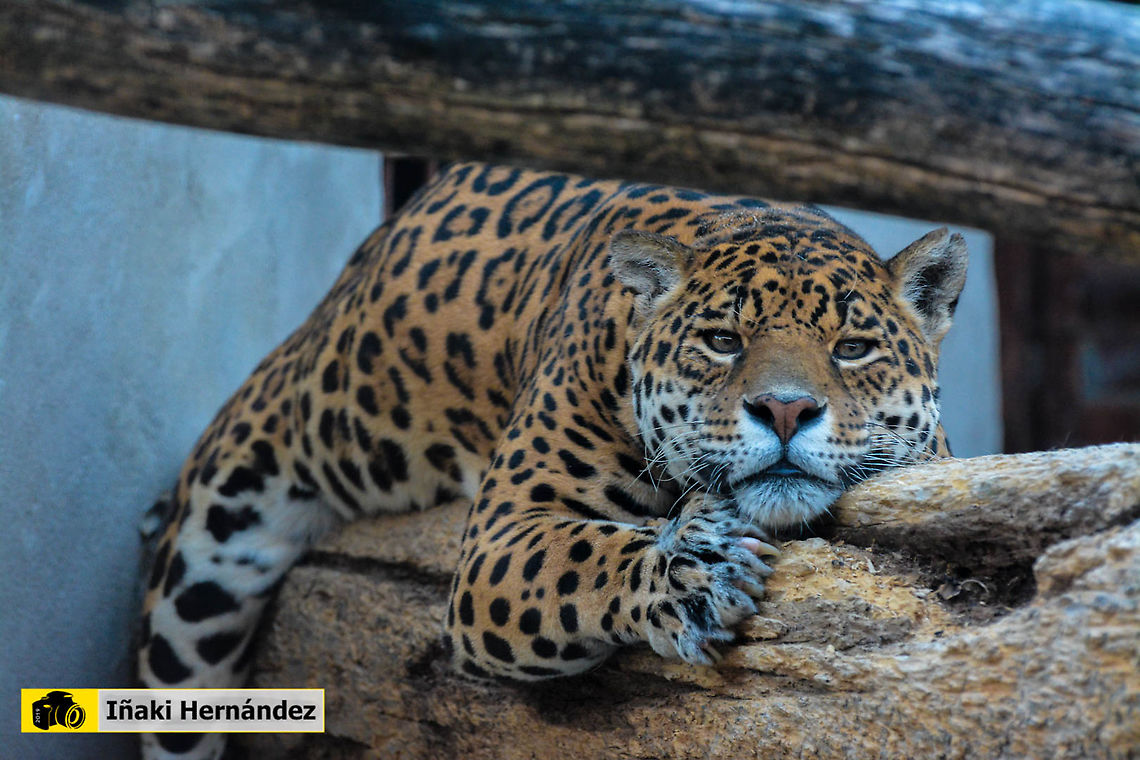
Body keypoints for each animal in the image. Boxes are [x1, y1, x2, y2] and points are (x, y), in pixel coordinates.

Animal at [137, 161, 967, 759]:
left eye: (852, 348)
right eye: (721, 342)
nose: (787, 410)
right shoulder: (501, 533)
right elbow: (581, 556)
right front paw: (690, 570)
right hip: (205, 565)